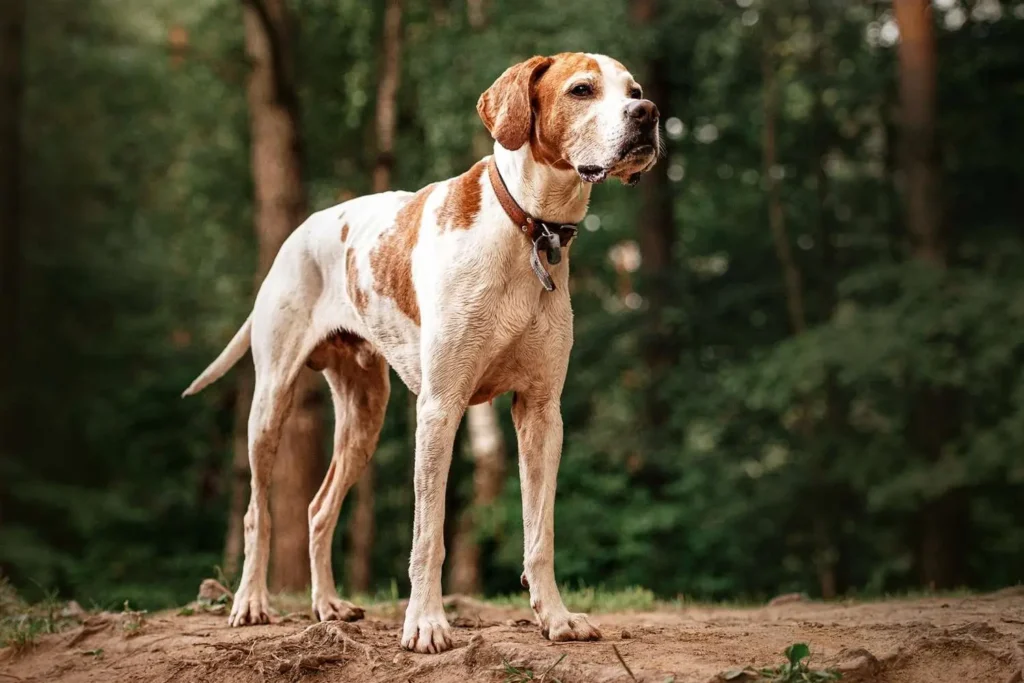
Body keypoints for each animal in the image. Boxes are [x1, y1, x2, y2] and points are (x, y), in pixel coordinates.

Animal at [184, 52, 659, 651]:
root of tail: (297, 234)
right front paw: (427, 624)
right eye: (581, 90)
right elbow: (428, 533)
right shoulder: (439, 409)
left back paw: (327, 606)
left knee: (317, 510)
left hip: (363, 418)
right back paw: (250, 603)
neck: (525, 229)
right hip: (269, 407)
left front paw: (554, 617)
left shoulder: (541, 413)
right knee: (257, 513)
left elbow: (540, 533)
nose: (649, 113)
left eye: (634, 90)